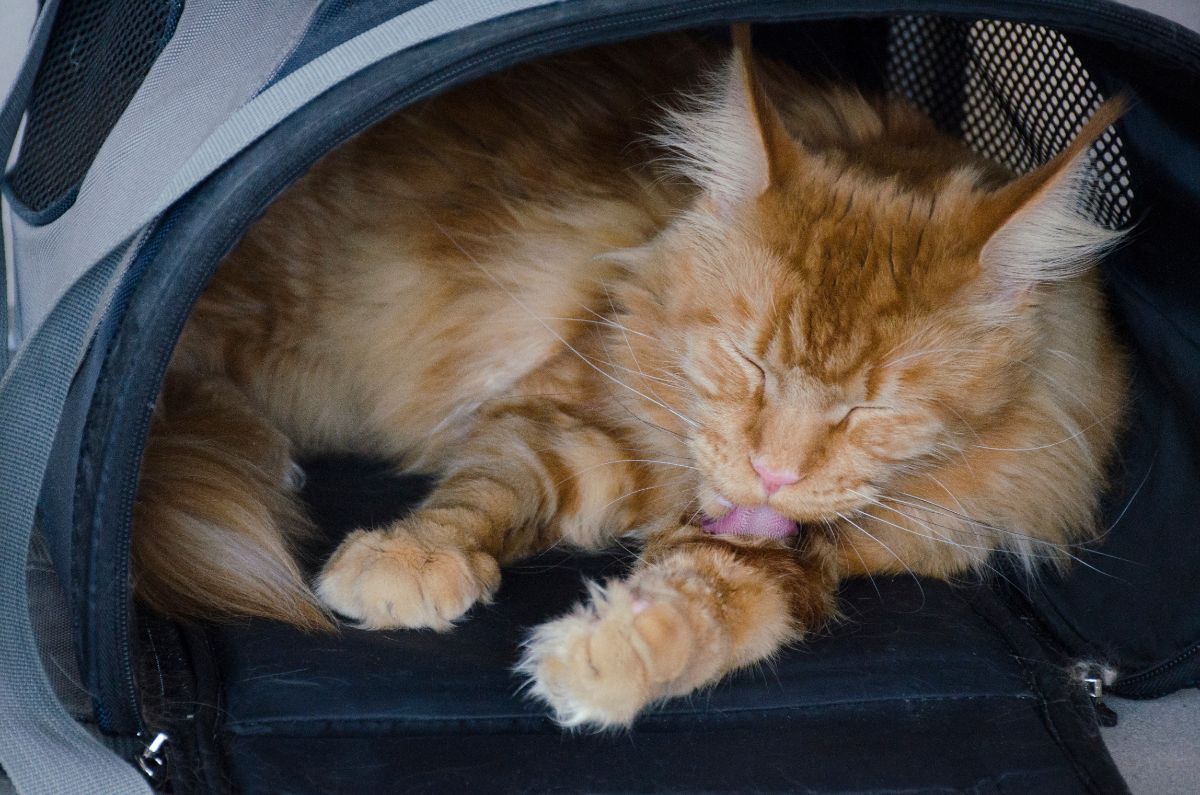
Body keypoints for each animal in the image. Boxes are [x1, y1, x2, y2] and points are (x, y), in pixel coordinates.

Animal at [136, 31, 1128, 730]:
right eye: (745, 360)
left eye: (868, 408)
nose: (772, 472)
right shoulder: (561, 416)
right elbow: (481, 491)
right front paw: (411, 558)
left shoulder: (793, 554)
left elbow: (719, 602)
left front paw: (614, 651)